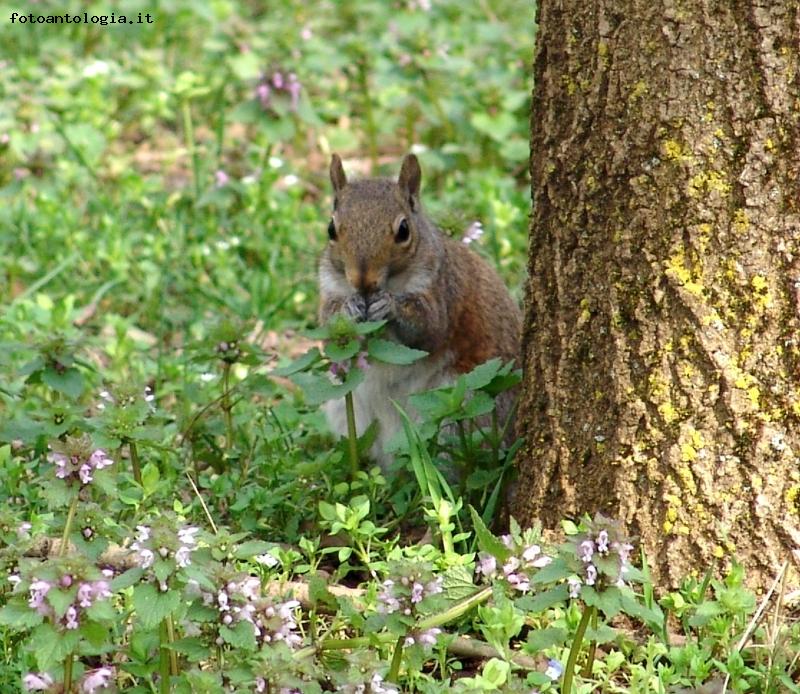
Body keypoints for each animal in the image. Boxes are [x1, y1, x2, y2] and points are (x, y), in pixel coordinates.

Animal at [318, 155, 524, 470]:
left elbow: (429, 329)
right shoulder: (329, 287)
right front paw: (349, 308)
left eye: (403, 230)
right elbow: (329, 330)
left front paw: (388, 305)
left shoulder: (443, 291)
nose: (363, 280)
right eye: (331, 228)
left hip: (460, 408)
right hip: (345, 406)